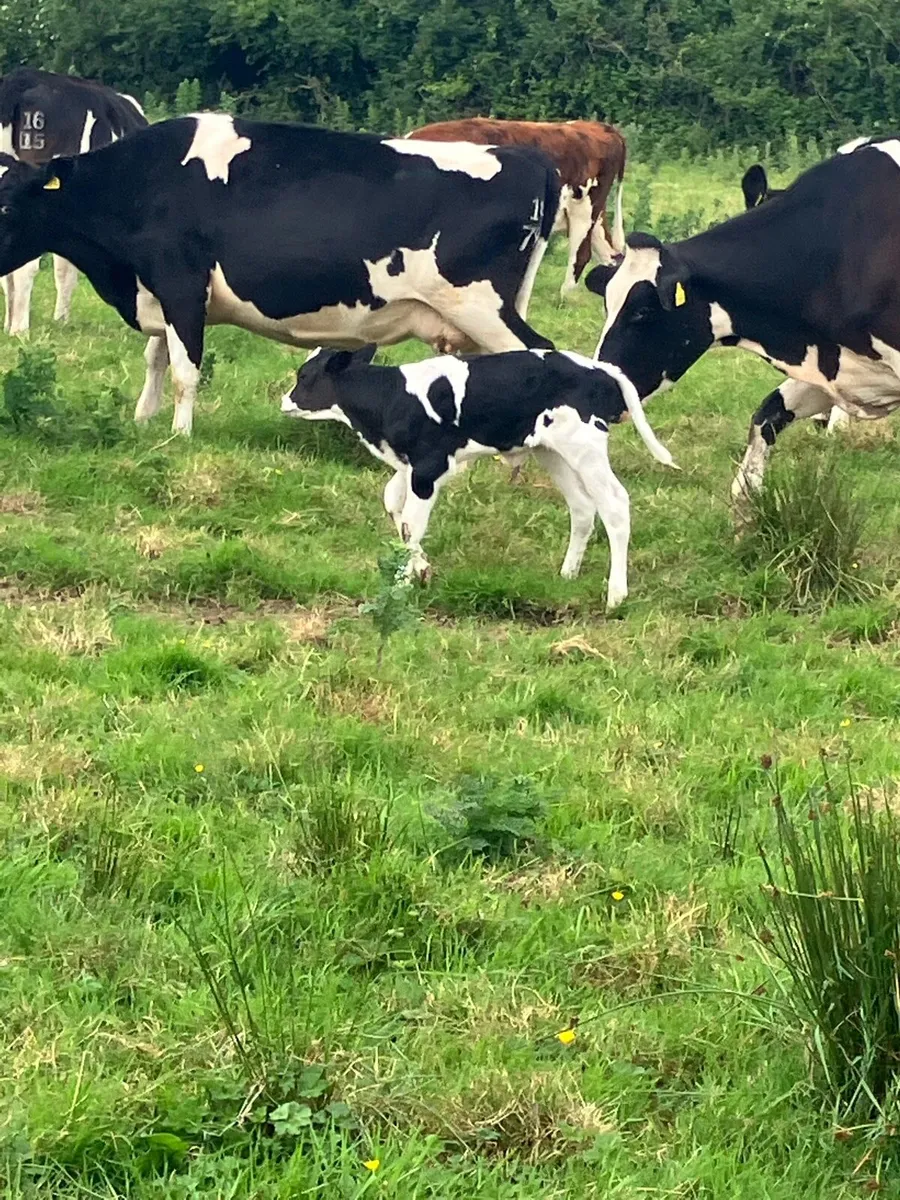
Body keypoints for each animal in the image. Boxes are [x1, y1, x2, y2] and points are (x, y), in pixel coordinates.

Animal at [0, 113, 560, 436]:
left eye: (6, 205)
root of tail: (531, 158)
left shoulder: (182, 283)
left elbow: (185, 369)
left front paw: (180, 436)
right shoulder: (161, 289)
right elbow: (156, 358)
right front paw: (143, 420)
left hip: (482, 306)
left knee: (542, 355)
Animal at [280, 345, 676, 611]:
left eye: (305, 376)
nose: (284, 400)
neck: (391, 397)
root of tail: (597, 367)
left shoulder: (430, 466)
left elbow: (412, 523)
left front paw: (403, 585)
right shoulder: (411, 467)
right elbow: (396, 509)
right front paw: (421, 570)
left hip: (585, 445)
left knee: (615, 505)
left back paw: (616, 595)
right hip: (551, 451)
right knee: (582, 507)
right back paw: (567, 574)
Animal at [407, 118, 626, 296]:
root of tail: (598, 126)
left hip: (584, 208)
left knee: (581, 254)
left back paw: (563, 297)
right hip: (593, 213)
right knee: (609, 252)